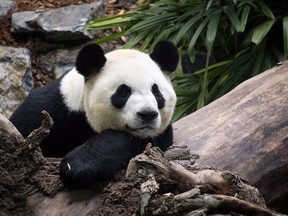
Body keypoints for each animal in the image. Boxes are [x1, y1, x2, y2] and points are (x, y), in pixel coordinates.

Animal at [9, 40, 178, 187]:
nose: (147, 114)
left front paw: (77, 166)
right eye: (123, 92)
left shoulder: (156, 135)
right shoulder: (51, 108)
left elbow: (138, 141)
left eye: (156, 92)